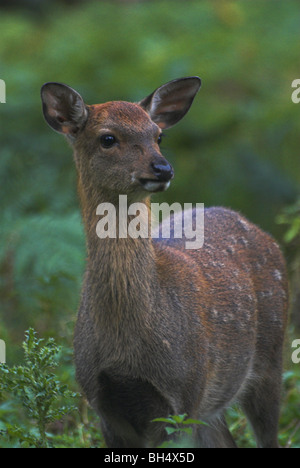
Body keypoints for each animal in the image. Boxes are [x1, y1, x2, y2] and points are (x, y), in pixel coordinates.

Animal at [41, 78, 290, 448]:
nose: (162, 168)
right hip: (211, 405)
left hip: (270, 357)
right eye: (108, 138)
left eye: (159, 136)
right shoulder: (104, 406)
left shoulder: (182, 394)